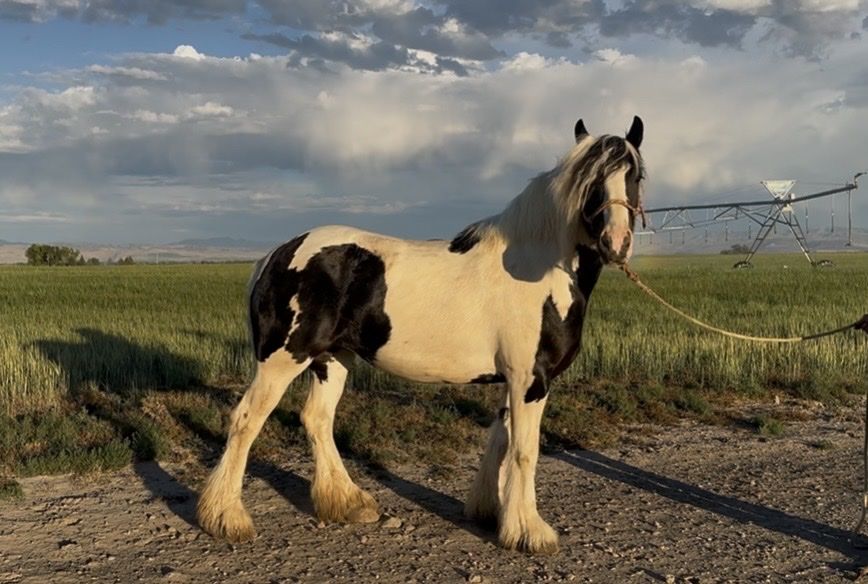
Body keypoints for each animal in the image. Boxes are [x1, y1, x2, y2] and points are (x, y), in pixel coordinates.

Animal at [197, 116, 646, 555]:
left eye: (636, 174)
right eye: (591, 181)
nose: (616, 243)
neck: (536, 267)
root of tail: (276, 255)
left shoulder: (513, 380)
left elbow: (500, 441)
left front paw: (491, 513)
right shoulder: (530, 380)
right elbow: (524, 450)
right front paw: (530, 532)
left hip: (331, 359)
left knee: (317, 419)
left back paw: (348, 502)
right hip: (282, 359)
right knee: (246, 420)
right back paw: (227, 518)